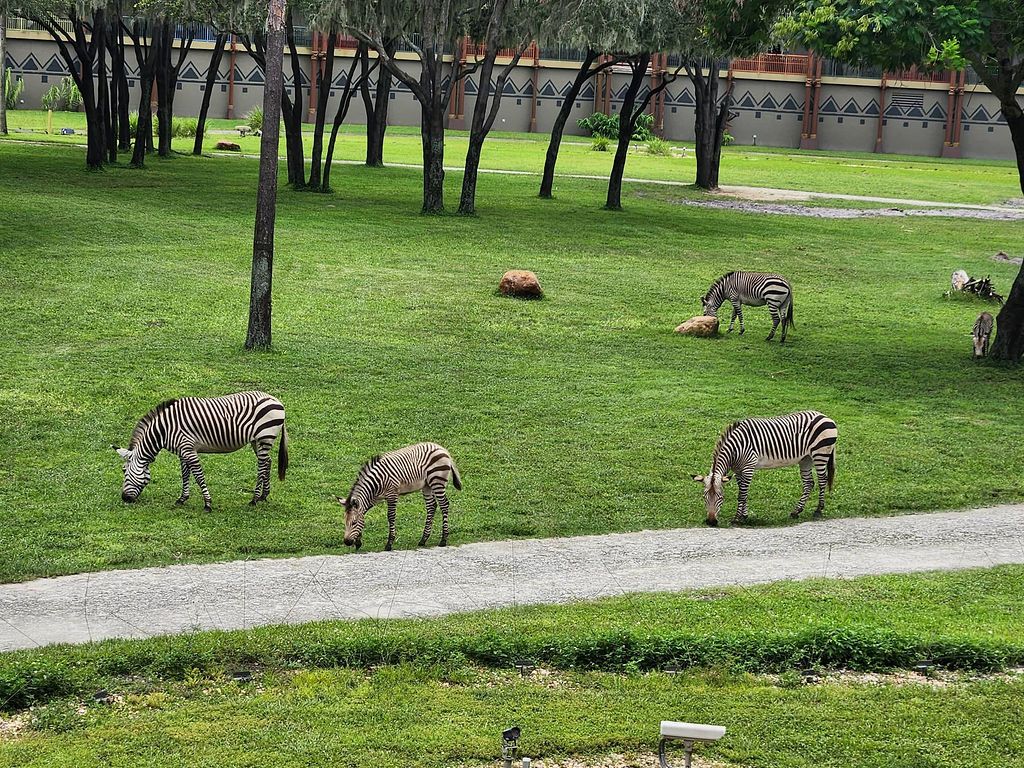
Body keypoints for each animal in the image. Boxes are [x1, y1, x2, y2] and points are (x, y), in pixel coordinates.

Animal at [112, 391, 289, 512]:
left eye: (124, 471)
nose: (125, 499)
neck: (163, 430)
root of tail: (276, 400)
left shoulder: (188, 450)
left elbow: (198, 476)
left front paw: (207, 503)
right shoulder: (183, 451)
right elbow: (185, 474)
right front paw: (182, 498)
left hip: (265, 437)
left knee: (262, 466)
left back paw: (254, 499)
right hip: (257, 441)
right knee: (267, 462)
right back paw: (264, 496)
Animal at [692, 410, 837, 526]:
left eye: (720, 497)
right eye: (704, 497)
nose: (711, 522)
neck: (735, 450)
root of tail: (824, 416)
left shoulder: (748, 467)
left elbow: (742, 494)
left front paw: (737, 518)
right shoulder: (738, 470)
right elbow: (743, 492)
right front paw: (744, 516)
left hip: (820, 453)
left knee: (822, 480)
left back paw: (818, 510)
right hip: (806, 459)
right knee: (809, 483)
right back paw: (796, 511)